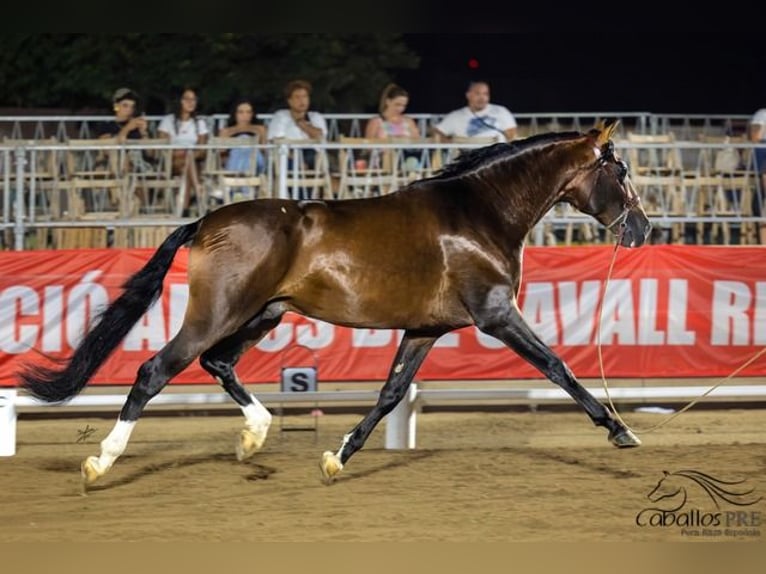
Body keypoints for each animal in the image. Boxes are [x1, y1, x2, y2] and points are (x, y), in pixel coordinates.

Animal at [18, 120, 652, 486]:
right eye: (619, 170)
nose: (643, 230)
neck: (480, 211)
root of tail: (206, 222)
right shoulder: (496, 315)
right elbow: (557, 366)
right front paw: (620, 430)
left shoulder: (426, 329)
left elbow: (391, 393)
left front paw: (337, 457)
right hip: (220, 312)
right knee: (157, 369)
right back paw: (100, 463)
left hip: (264, 313)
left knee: (217, 363)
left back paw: (256, 435)